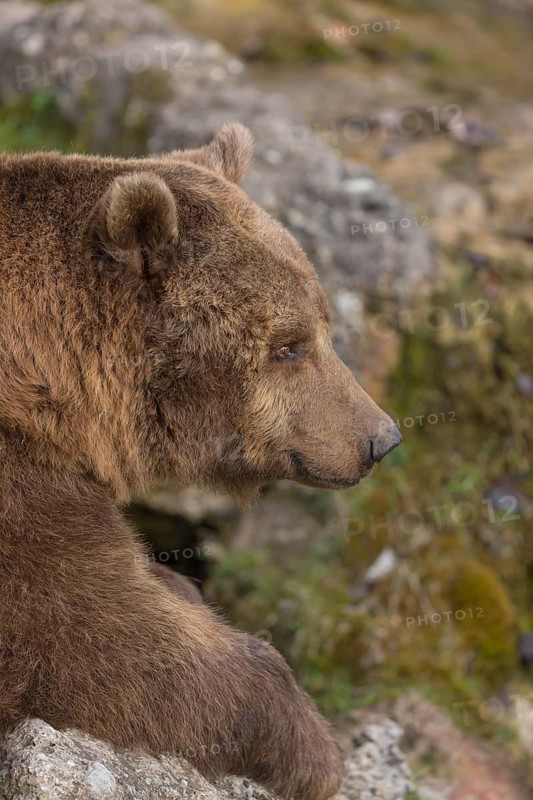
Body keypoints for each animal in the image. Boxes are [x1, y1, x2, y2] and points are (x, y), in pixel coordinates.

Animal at [0, 124, 401, 799]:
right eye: (287, 346)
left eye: (323, 323)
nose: (380, 438)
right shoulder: (18, 485)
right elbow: (98, 642)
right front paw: (313, 746)